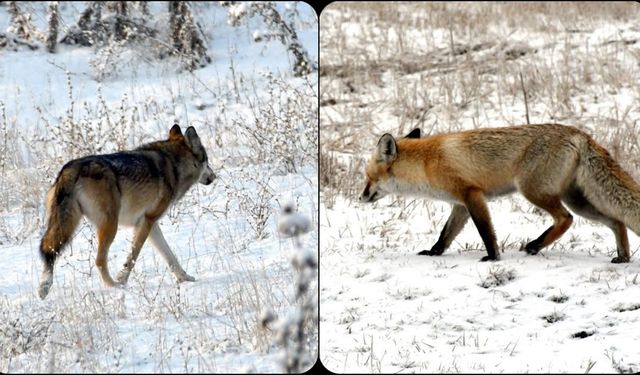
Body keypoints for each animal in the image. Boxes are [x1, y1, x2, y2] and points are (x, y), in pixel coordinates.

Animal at [38, 125, 216, 300]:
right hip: (110, 226)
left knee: (49, 250)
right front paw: (122, 279)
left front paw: (185, 278)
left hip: (67, 224)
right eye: (207, 161)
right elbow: (133, 256)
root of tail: (70, 169)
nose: (214, 176)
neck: (173, 164)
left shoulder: (151, 224)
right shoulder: (147, 221)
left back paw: (44, 288)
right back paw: (114, 286)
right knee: (99, 261)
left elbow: (170, 256)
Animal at [360, 125, 640, 262]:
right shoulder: (460, 204)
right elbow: (446, 234)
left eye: (368, 177)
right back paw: (623, 257)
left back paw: (535, 245)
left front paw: (493, 257)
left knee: (565, 219)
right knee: (617, 221)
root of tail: (580, 134)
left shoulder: (473, 194)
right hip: (578, 200)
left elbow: (486, 231)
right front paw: (434, 252)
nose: (360, 197)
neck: (426, 163)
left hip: (534, 191)